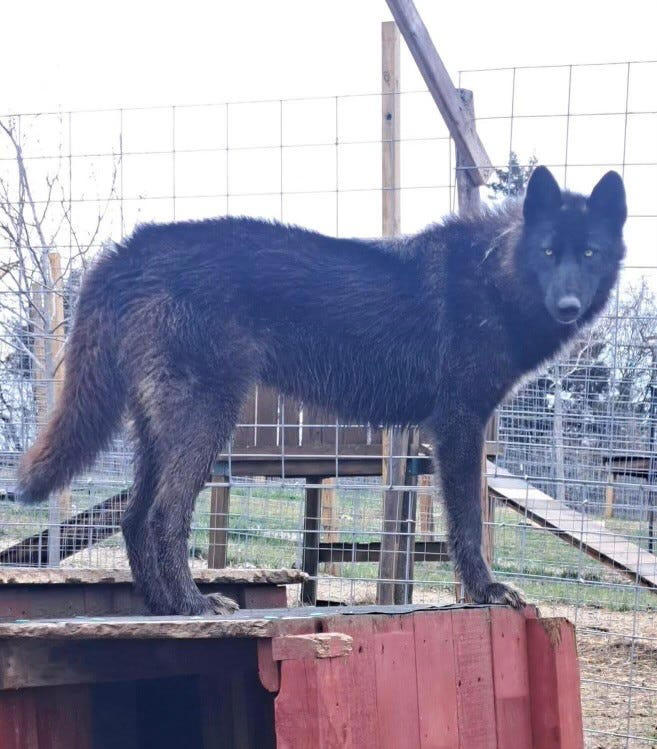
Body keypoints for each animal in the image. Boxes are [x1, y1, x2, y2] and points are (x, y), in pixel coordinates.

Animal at [16, 168, 624, 612]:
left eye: (589, 254)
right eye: (549, 252)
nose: (568, 306)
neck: (494, 274)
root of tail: (131, 248)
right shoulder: (459, 425)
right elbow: (469, 525)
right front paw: (485, 591)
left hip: (161, 431)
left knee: (132, 518)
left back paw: (166, 609)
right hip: (208, 421)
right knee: (163, 517)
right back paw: (194, 606)